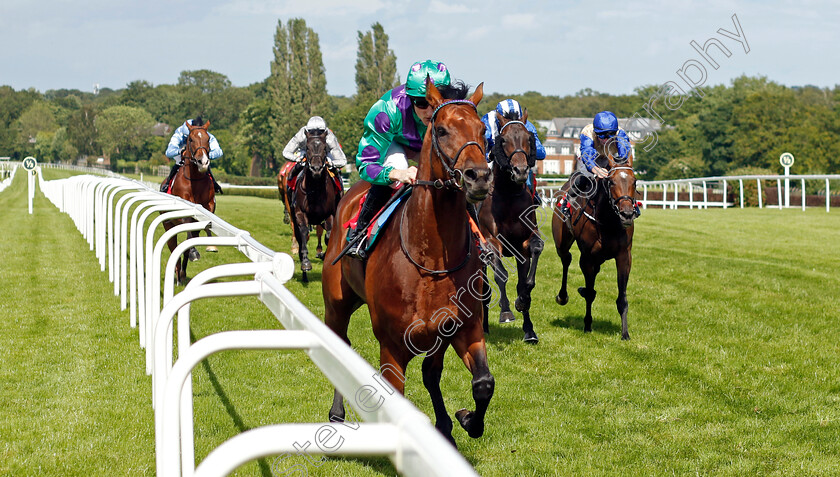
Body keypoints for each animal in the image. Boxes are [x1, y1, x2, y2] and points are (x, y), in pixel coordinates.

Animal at [161, 118, 213, 284]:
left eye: (208, 139)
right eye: (190, 139)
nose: (203, 162)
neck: (195, 181)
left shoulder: (208, 206)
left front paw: (209, 246)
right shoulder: (183, 212)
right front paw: (194, 253)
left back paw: (182, 272)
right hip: (168, 224)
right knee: (173, 246)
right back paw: (178, 274)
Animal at [284, 130, 342, 280]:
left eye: (325, 148)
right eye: (308, 148)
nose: (316, 169)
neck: (315, 189)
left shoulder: (329, 214)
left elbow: (329, 235)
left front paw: (323, 254)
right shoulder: (300, 213)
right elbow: (304, 232)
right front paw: (305, 262)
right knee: (299, 235)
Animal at [320, 81, 492, 442]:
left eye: (483, 130)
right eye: (441, 130)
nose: (479, 177)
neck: (431, 261)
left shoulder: (462, 329)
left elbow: (478, 382)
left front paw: (463, 419)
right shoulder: (392, 348)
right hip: (336, 303)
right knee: (338, 344)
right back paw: (337, 412)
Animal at [480, 111, 544, 342]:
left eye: (528, 139)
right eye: (504, 140)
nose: (521, 170)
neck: (508, 195)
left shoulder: (524, 243)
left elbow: (526, 280)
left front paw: (523, 306)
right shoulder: (491, 241)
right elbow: (501, 275)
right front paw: (506, 310)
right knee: (485, 290)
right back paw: (484, 327)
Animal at [552, 152, 636, 338]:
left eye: (634, 181)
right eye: (611, 182)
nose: (627, 214)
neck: (608, 221)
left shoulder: (624, 256)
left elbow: (622, 298)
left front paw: (625, 333)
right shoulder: (587, 257)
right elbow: (590, 294)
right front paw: (587, 325)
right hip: (561, 243)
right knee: (566, 259)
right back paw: (562, 296)